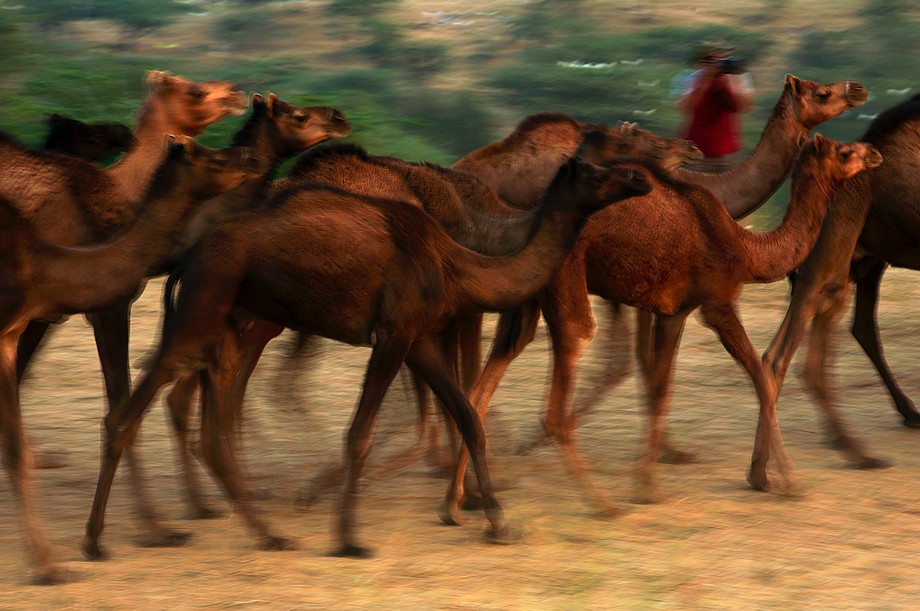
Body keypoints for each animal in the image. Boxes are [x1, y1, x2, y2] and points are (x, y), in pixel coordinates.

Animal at [80, 156, 652, 561]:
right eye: (595, 171)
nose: (639, 177)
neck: (459, 262)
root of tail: (189, 259)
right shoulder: (393, 335)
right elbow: (361, 432)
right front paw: (349, 538)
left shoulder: (419, 339)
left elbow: (468, 416)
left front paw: (496, 522)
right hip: (204, 308)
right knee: (133, 409)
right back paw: (99, 540)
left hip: (228, 322)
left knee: (210, 420)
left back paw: (269, 535)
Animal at [446, 135, 883, 517]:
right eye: (844, 152)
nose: (874, 153)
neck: (746, 249)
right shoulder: (718, 302)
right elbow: (761, 374)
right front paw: (784, 480)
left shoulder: (675, 312)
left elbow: (661, 390)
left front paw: (648, 485)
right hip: (565, 285)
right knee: (560, 384)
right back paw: (601, 505)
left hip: (527, 301)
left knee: (480, 391)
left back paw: (457, 502)